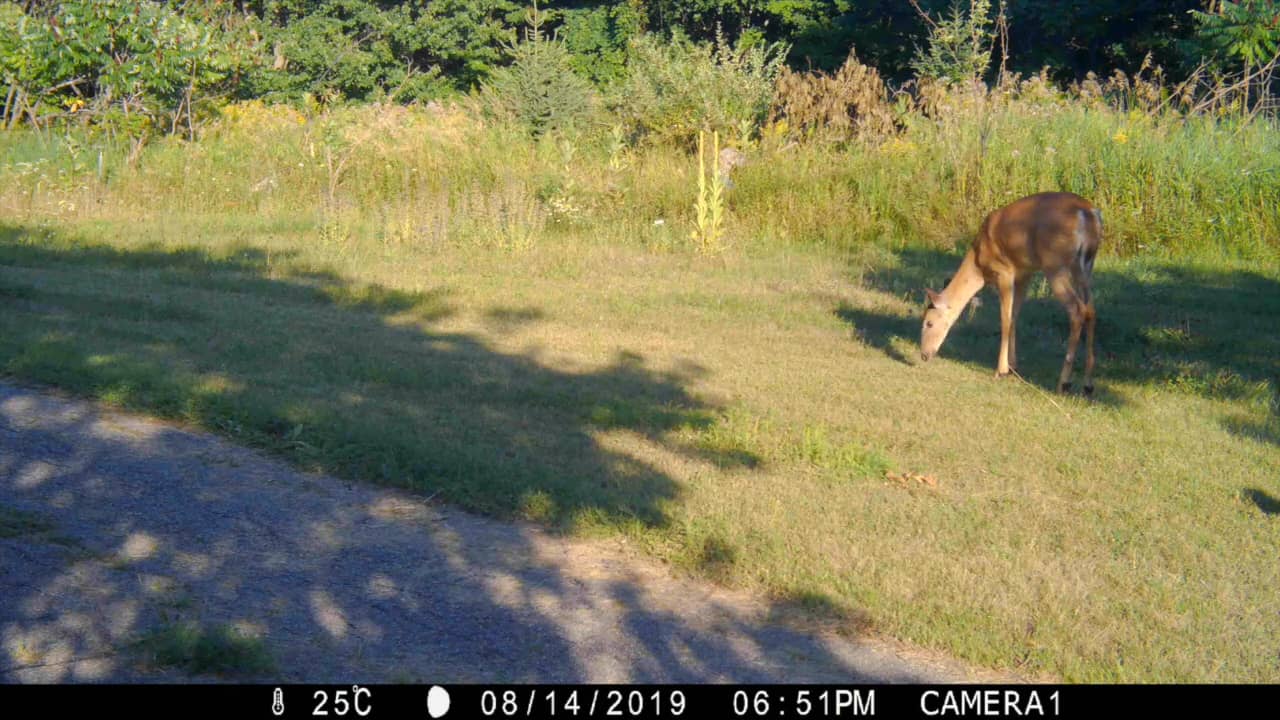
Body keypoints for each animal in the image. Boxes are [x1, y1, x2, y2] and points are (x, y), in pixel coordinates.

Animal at [919, 192, 1102, 396]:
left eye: (929, 322)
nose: (924, 355)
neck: (979, 265)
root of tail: (1088, 213)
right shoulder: (1024, 274)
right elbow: (1014, 316)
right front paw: (1013, 366)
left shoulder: (1004, 271)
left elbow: (1005, 319)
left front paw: (1001, 370)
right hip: (1085, 265)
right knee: (1090, 309)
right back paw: (1088, 384)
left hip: (1055, 264)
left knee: (1077, 310)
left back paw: (1064, 383)